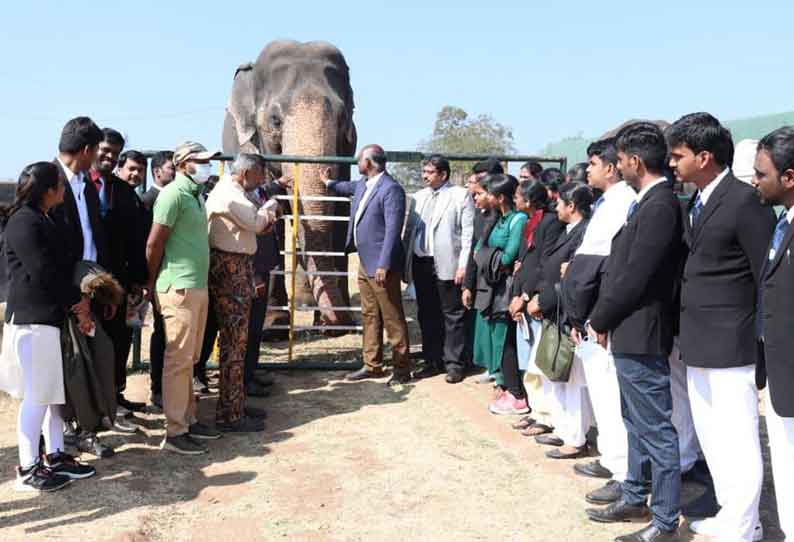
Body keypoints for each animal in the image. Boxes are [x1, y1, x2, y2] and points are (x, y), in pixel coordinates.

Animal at [224, 39, 358, 332]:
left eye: (343, 117)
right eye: (275, 120)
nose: (336, 319)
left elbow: (340, 212)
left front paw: (336, 327)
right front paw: (273, 326)